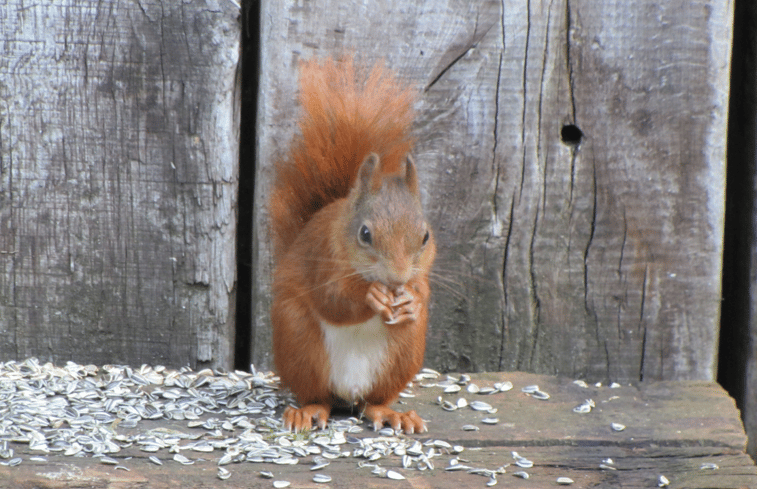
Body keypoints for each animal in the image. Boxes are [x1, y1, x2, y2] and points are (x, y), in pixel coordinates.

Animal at [270, 55, 438, 432]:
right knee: (317, 396)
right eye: (364, 234)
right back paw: (306, 411)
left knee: (373, 402)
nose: (398, 278)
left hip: (403, 354)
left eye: (425, 236)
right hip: (299, 340)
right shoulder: (321, 255)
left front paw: (412, 300)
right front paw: (371, 296)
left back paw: (392, 414)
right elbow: (332, 299)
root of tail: (347, 393)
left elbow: (422, 290)